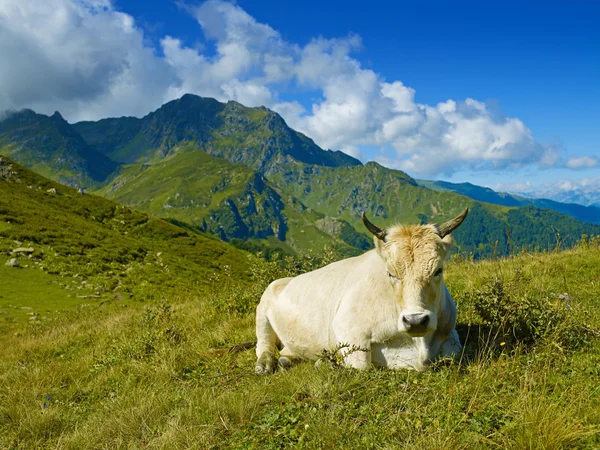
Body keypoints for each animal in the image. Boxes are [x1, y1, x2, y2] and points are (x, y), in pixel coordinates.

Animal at [253, 209, 468, 374]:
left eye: (438, 270)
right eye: (390, 273)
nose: (415, 321)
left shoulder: (450, 332)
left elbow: (453, 352)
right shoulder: (347, 328)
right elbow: (361, 365)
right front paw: (327, 362)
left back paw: (286, 360)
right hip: (262, 310)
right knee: (263, 345)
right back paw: (265, 364)